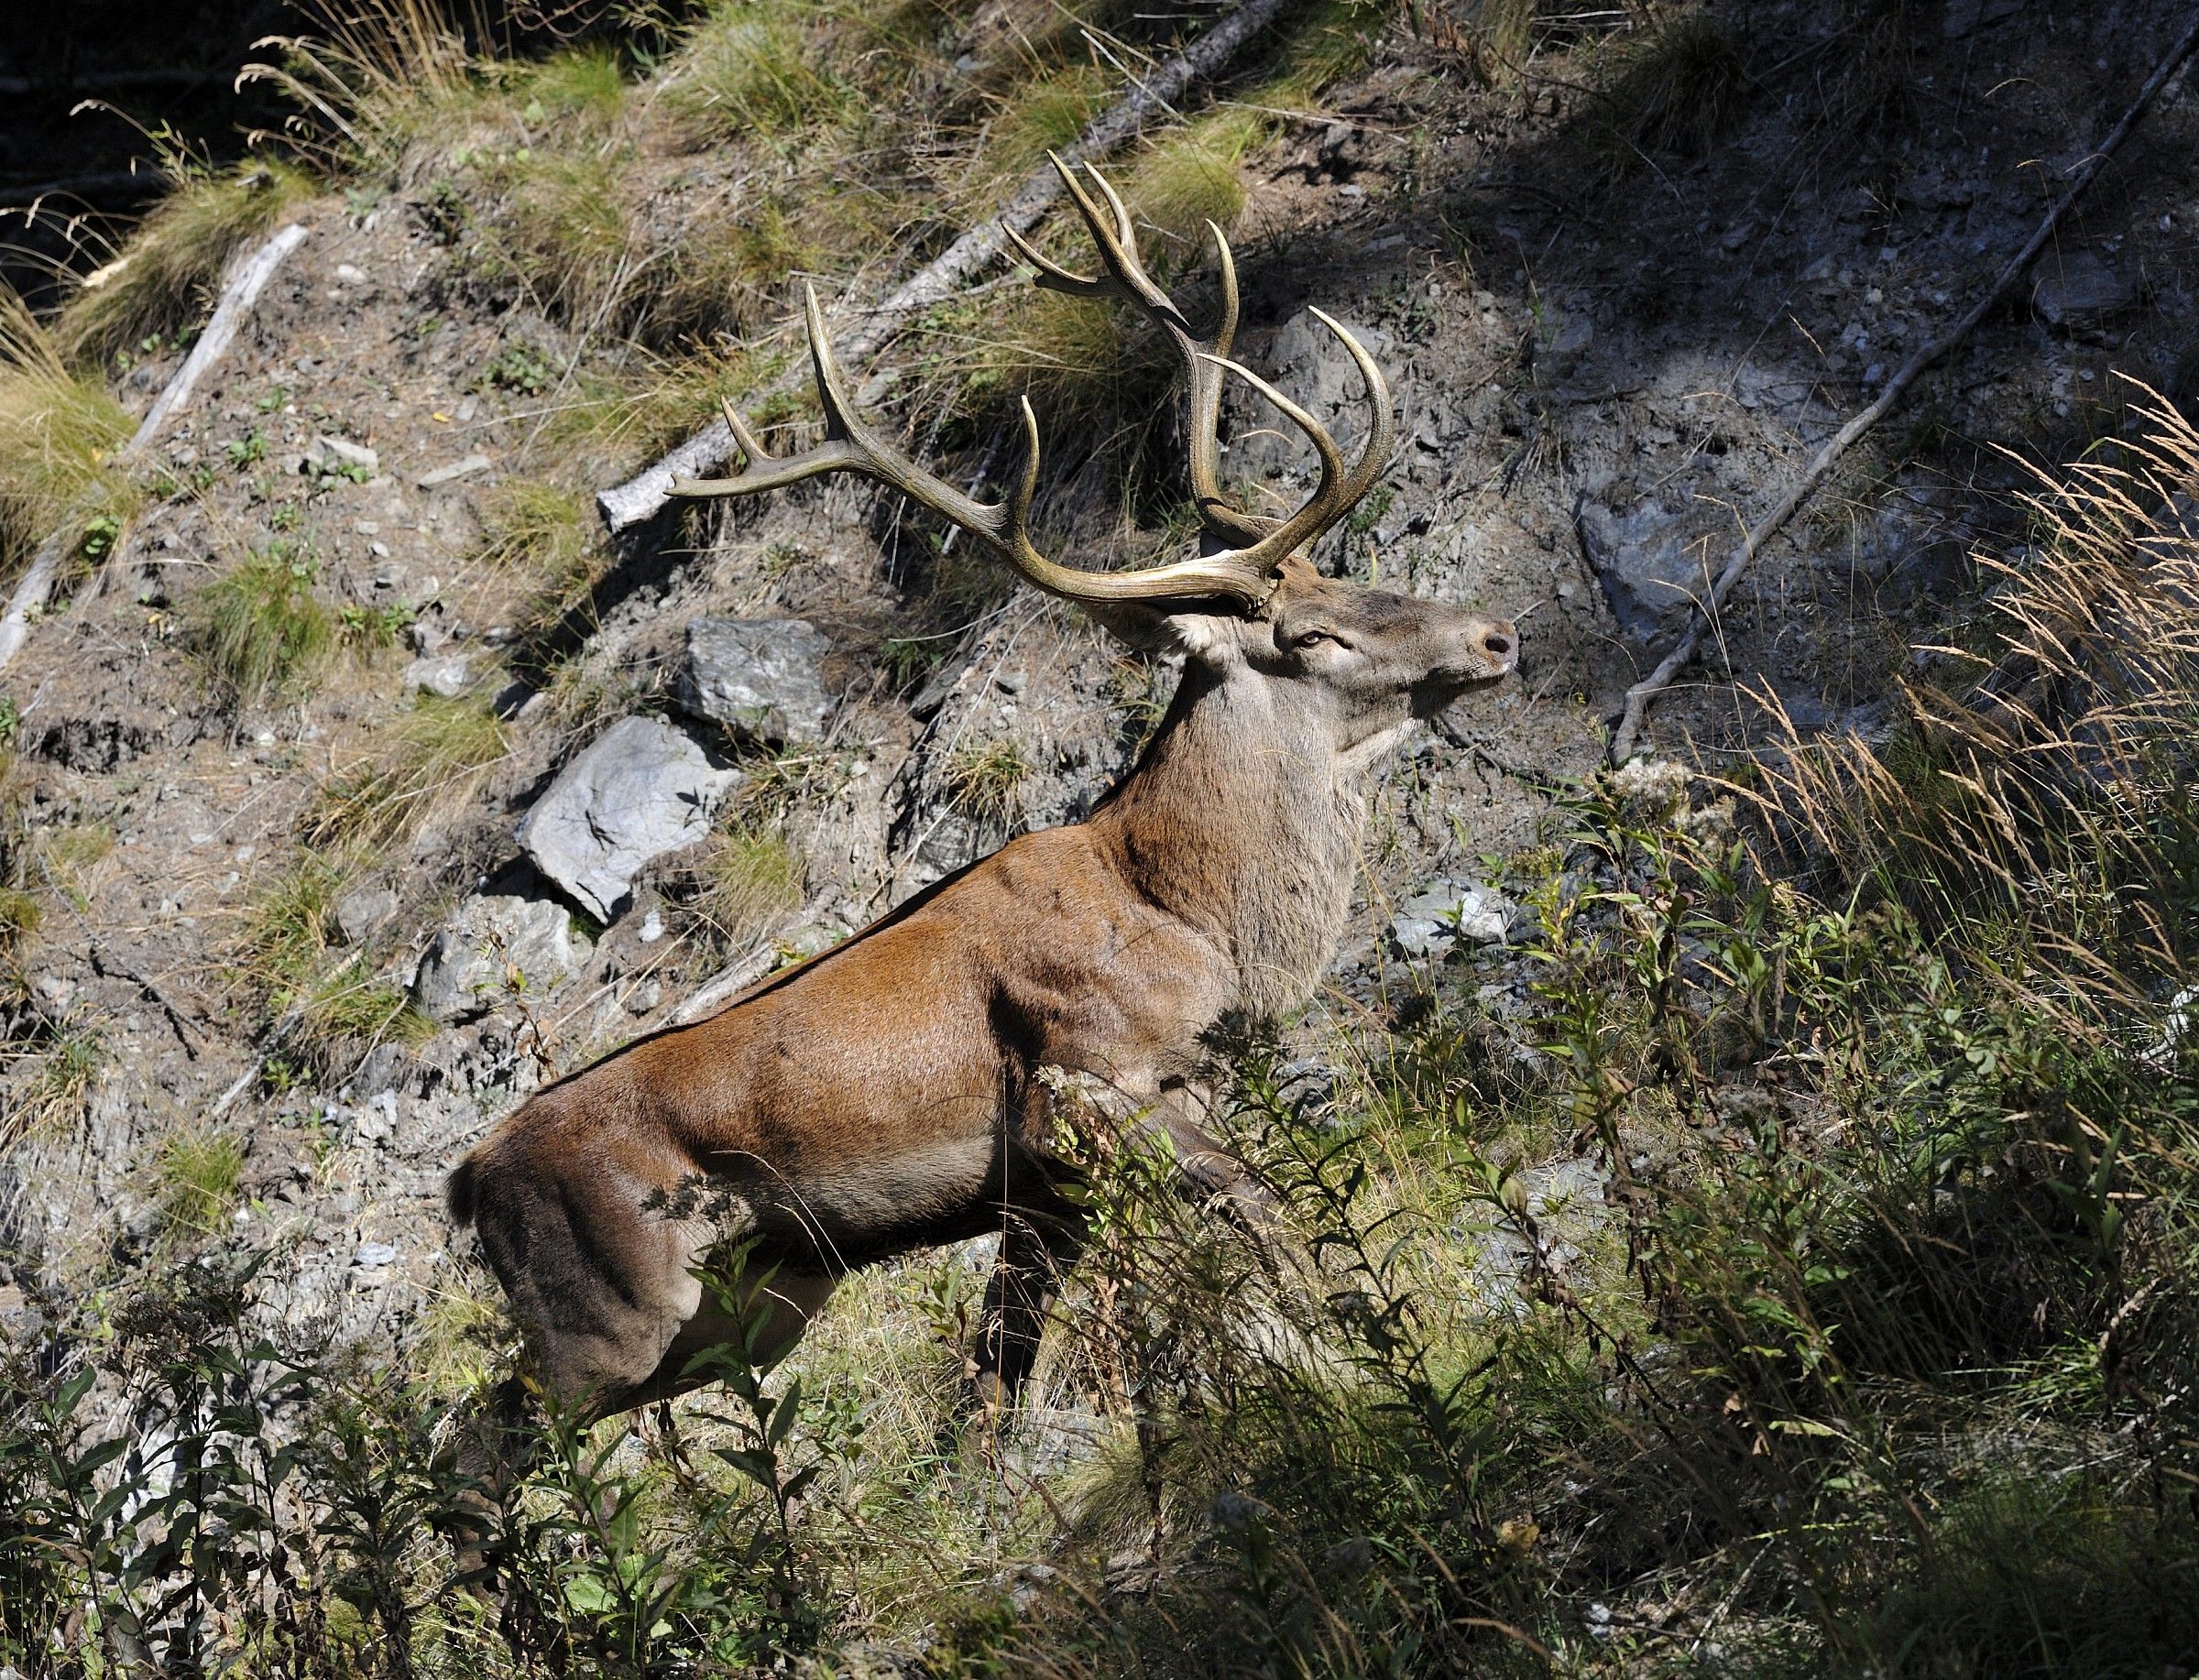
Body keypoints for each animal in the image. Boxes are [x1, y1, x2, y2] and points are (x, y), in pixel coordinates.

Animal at [447, 159, 1517, 1428]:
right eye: (1312, 634)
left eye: (1338, 573)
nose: (1497, 635)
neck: (1189, 915)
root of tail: (468, 1179)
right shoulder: (1095, 1074)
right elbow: (1272, 1227)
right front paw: (1377, 1382)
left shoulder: (1049, 1187)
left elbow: (995, 1391)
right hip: (598, 1317)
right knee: (486, 1431)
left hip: (755, 1298)